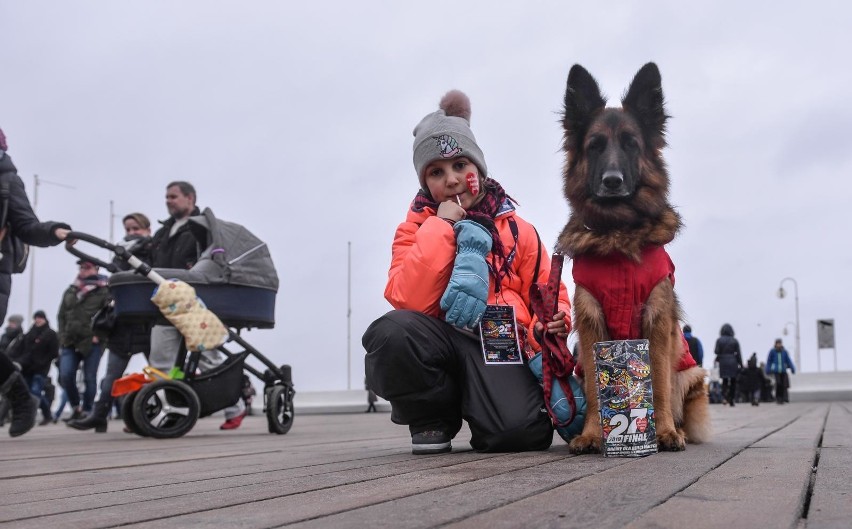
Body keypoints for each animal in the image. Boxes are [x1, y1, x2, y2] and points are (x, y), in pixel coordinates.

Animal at [556, 60, 708, 450]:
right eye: (595, 146)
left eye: (630, 144)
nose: (612, 181)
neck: (618, 232)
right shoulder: (591, 321)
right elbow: (596, 392)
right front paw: (591, 434)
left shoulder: (656, 318)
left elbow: (658, 382)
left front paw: (665, 431)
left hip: (692, 372)